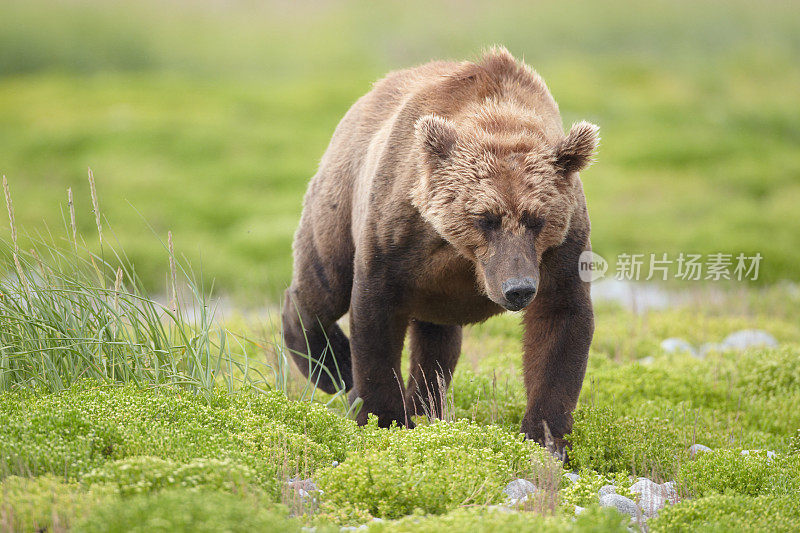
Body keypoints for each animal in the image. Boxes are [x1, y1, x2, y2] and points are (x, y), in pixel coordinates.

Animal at [284, 46, 596, 454]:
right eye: (485, 218)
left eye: (537, 219)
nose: (519, 289)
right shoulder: (396, 232)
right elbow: (374, 317)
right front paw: (383, 418)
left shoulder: (561, 248)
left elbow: (560, 321)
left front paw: (544, 437)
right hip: (341, 193)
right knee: (323, 282)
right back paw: (335, 366)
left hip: (435, 294)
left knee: (436, 343)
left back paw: (424, 405)